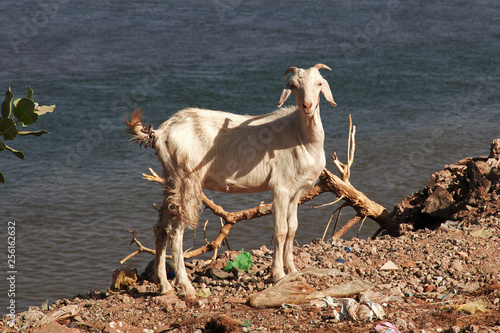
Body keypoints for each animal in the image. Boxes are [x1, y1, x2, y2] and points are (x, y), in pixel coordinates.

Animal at [126, 63, 336, 296]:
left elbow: (292, 228)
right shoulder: (280, 187)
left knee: (160, 228)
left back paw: (165, 285)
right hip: (187, 178)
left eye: (319, 83)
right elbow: (280, 231)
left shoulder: (296, 190)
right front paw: (278, 274)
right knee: (176, 230)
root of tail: (161, 132)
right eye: (294, 86)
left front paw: (292, 269)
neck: (300, 135)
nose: (307, 105)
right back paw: (187, 287)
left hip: (171, 178)